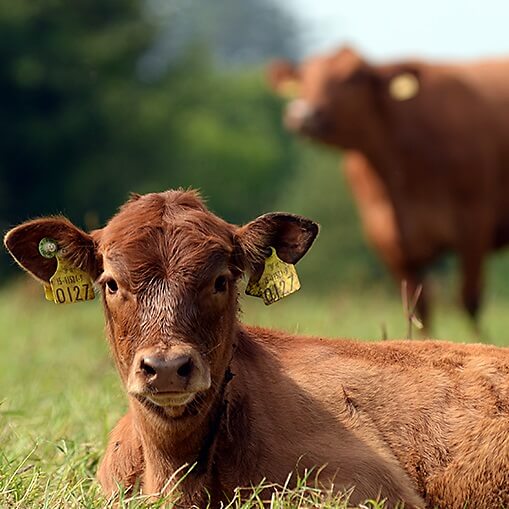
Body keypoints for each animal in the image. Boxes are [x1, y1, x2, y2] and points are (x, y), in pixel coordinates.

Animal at [268, 47, 509, 330]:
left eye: (354, 78)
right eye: (304, 77)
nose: (302, 115)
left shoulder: (473, 226)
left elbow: (469, 301)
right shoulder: (388, 240)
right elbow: (418, 308)